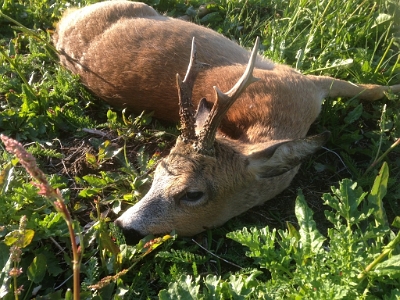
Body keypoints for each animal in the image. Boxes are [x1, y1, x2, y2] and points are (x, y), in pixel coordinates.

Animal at [54, 1, 400, 243]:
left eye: (192, 194)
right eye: (156, 174)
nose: (123, 227)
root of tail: (62, 25)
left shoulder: (302, 82)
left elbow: (368, 88)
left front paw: (394, 88)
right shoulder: (299, 80)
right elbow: (368, 88)